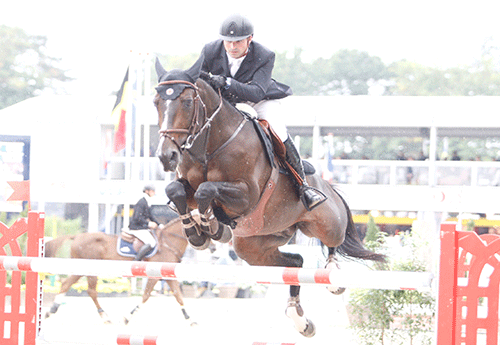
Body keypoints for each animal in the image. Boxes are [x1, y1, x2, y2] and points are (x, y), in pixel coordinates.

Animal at [44, 216, 193, 324]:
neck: (169, 242)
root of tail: (77, 236)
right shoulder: (154, 275)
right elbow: (146, 296)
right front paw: (128, 317)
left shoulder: (167, 275)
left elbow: (178, 296)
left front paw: (190, 319)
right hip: (90, 270)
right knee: (91, 291)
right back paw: (104, 316)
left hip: (81, 270)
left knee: (66, 284)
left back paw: (52, 309)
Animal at [154, 58, 384, 336]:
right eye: (156, 102)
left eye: (187, 102)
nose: (166, 156)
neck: (211, 144)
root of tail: (327, 186)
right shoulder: (187, 187)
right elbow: (177, 191)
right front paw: (199, 232)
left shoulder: (246, 195)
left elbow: (206, 190)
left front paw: (211, 225)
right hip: (254, 247)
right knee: (295, 262)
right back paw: (300, 319)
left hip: (325, 223)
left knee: (333, 242)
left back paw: (332, 275)